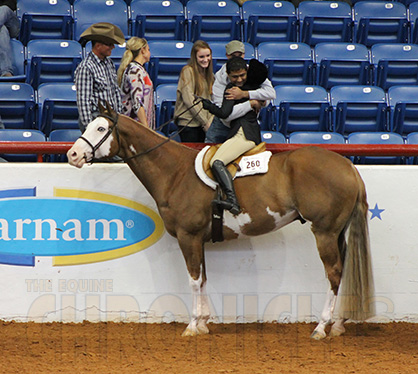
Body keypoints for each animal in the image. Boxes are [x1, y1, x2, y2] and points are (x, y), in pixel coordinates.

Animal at [68, 104, 376, 338]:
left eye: (100, 129)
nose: (72, 155)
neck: (175, 173)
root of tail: (347, 166)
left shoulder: (188, 237)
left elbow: (194, 280)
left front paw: (193, 326)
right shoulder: (198, 240)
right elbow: (203, 278)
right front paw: (204, 323)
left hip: (324, 232)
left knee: (334, 273)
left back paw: (322, 327)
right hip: (337, 233)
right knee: (342, 271)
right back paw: (338, 324)